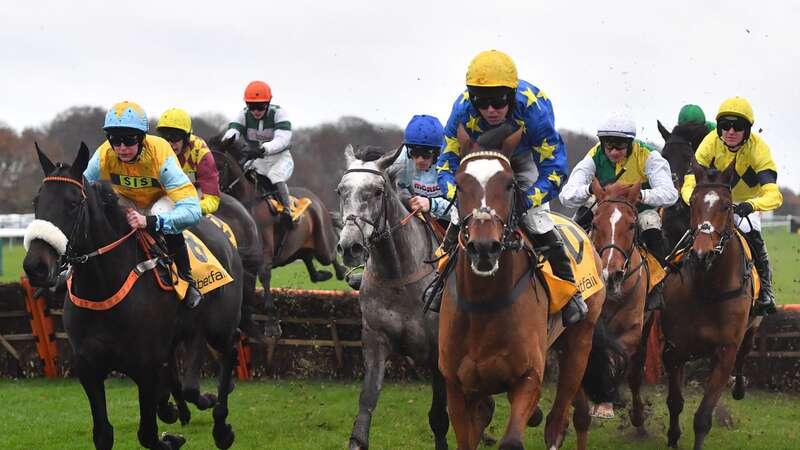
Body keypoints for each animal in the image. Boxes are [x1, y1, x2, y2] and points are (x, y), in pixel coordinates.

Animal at [25, 144, 242, 450]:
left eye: (73, 203)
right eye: (36, 201)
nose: (36, 266)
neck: (104, 290)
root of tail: (220, 228)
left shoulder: (145, 366)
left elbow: (147, 433)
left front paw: (171, 437)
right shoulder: (89, 368)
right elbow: (103, 434)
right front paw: (171, 420)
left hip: (219, 326)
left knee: (228, 354)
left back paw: (221, 426)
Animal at [336, 145, 450, 450]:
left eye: (377, 191)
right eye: (341, 190)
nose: (350, 247)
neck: (400, 276)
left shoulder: (438, 351)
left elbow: (439, 417)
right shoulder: (375, 341)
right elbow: (366, 404)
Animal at [438, 126, 620, 450]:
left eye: (510, 184)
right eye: (459, 184)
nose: (484, 248)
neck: (483, 305)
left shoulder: (528, 379)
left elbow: (513, 439)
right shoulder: (458, 387)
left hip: (579, 341)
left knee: (558, 421)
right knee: (578, 414)